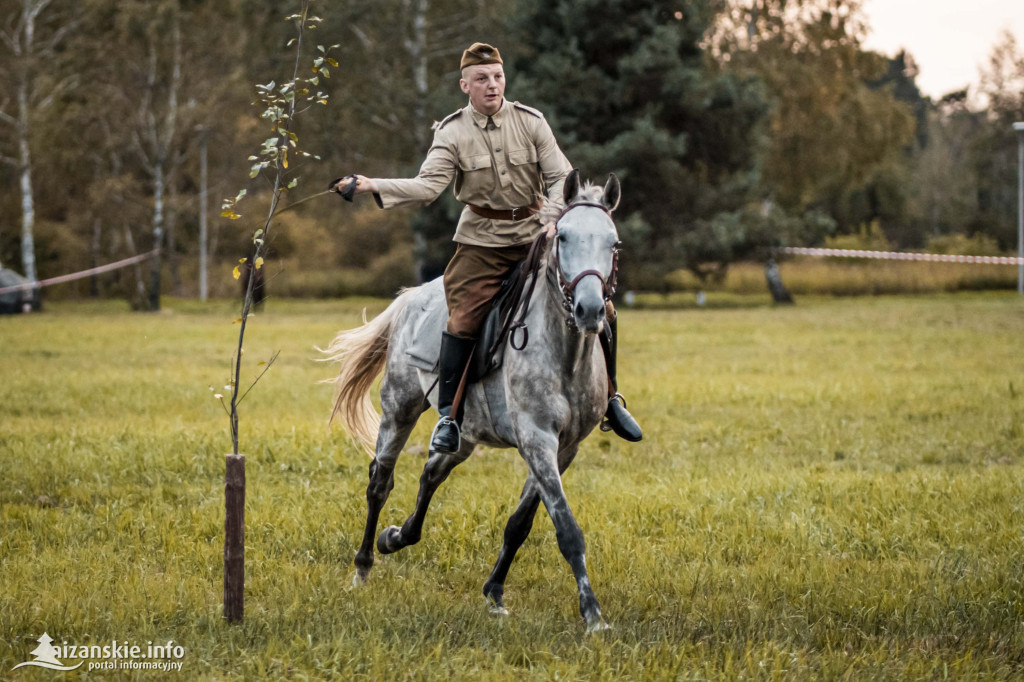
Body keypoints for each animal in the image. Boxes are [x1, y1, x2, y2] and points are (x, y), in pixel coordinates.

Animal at [323, 168, 618, 626]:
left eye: (613, 243)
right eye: (564, 237)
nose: (590, 310)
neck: (564, 354)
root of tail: (411, 297)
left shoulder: (563, 448)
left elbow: (520, 523)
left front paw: (494, 592)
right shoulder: (537, 440)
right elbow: (567, 528)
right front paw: (592, 615)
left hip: (465, 433)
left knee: (431, 472)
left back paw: (397, 536)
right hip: (399, 409)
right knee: (380, 482)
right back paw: (363, 567)